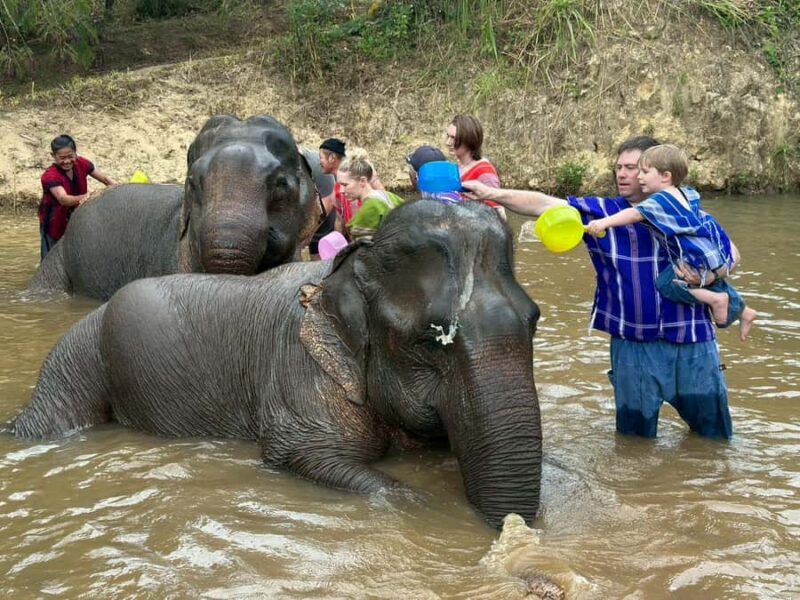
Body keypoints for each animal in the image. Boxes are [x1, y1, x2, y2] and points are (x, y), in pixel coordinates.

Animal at [10, 200, 542, 529]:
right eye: (431, 340)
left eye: (534, 321)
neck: (348, 267)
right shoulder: (298, 372)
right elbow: (299, 455)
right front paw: (427, 510)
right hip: (76, 356)